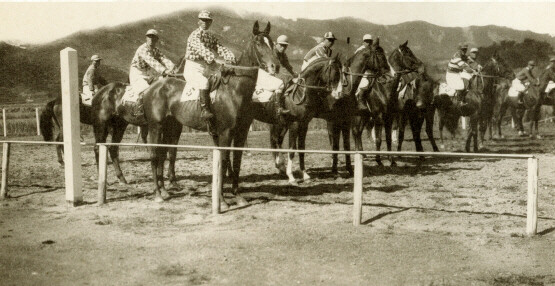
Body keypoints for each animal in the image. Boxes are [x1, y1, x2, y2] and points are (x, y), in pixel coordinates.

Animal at [139, 21, 278, 204]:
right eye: (258, 43)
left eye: (272, 42)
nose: (275, 66)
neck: (235, 90)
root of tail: (151, 88)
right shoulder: (226, 132)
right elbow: (224, 162)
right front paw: (223, 200)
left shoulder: (241, 132)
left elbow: (236, 161)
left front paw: (237, 195)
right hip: (155, 126)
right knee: (154, 155)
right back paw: (157, 194)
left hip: (169, 126)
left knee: (162, 154)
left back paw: (164, 190)